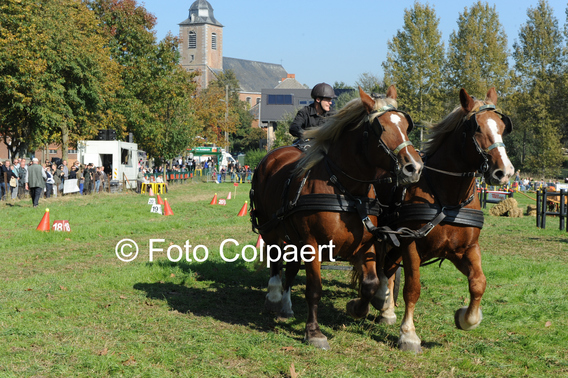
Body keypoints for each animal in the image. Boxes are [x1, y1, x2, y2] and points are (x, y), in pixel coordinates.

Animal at [251, 87, 424, 350]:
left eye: (406, 125)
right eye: (381, 128)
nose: (414, 167)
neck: (345, 190)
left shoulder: (366, 244)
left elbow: (371, 284)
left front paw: (357, 308)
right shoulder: (312, 244)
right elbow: (314, 288)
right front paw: (313, 332)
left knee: (291, 268)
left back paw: (286, 307)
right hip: (271, 229)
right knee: (275, 260)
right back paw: (273, 295)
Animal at [378, 87, 516, 352]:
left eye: (503, 127)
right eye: (476, 128)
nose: (504, 172)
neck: (448, 200)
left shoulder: (465, 249)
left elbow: (478, 283)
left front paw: (467, 317)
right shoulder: (410, 244)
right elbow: (412, 288)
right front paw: (408, 334)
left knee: (388, 268)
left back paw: (385, 308)